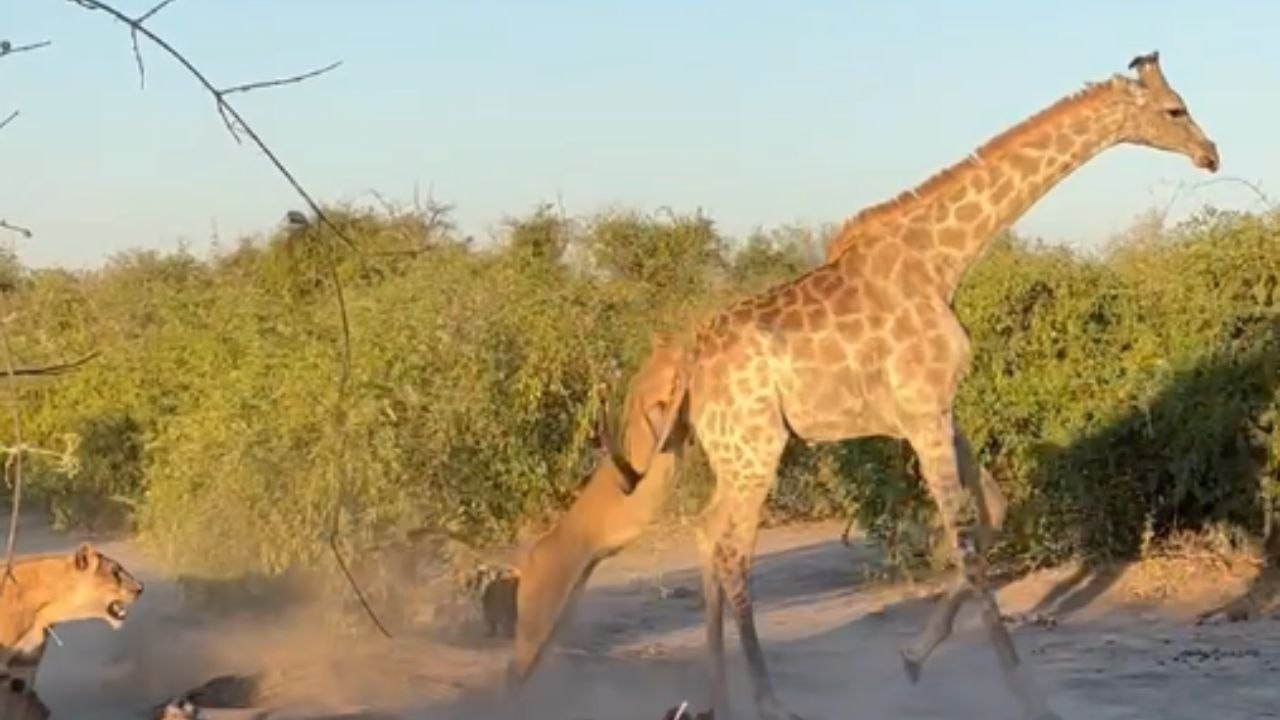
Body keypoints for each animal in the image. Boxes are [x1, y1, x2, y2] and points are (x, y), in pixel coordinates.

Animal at [608, 51, 1218, 720]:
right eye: (1175, 110)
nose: (1210, 153)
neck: (942, 261)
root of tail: (690, 369)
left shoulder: (935, 411)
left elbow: (994, 513)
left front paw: (913, 656)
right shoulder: (924, 410)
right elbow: (968, 546)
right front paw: (1026, 693)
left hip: (733, 453)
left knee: (706, 532)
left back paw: (716, 697)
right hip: (755, 448)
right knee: (732, 550)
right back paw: (767, 700)